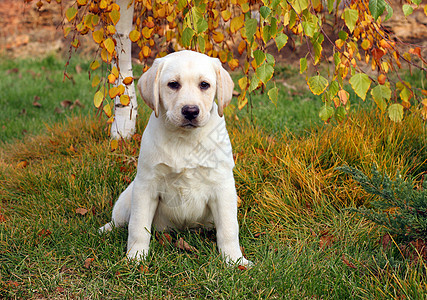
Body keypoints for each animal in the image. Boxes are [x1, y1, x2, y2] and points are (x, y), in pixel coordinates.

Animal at [100, 50, 251, 266]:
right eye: (173, 84)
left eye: (204, 85)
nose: (190, 111)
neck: (184, 139)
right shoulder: (146, 185)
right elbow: (137, 226)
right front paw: (135, 257)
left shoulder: (223, 186)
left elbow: (229, 228)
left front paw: (235, 260)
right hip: (128, 195)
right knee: (119, 220)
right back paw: (105, 229)